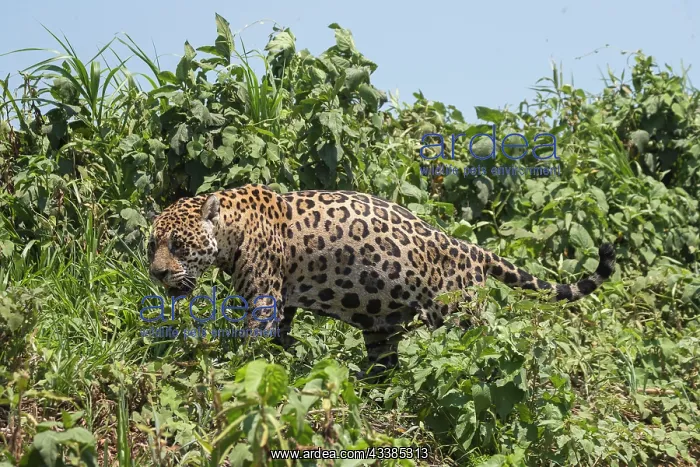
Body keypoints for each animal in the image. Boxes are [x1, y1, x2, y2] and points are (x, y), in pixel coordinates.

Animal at [147, 183, 616, 380]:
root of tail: (469, 248)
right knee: (384, 360)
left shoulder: (264, 296)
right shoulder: (284, 301)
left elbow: (253, 342)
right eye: (153, 244)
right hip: (380, 326)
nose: (157, 272)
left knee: (478, 346)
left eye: (178, 244)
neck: (231, 228)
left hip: (460, 315)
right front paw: (285, 359)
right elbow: (280, 337)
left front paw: (239, 368)